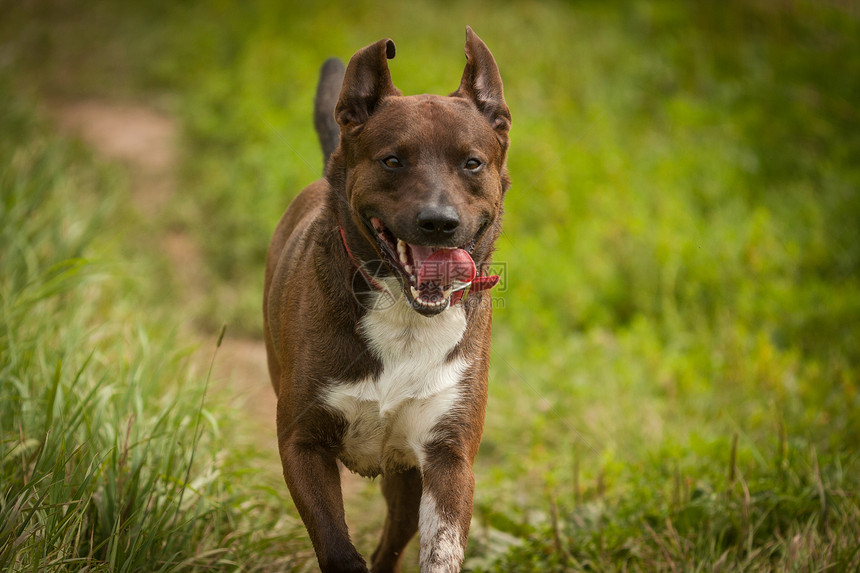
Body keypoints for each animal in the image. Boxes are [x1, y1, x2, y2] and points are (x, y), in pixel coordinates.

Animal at [264, 27, 510, 572]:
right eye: (392, 160)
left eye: (472, 162)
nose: (439, 222)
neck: (405, 315)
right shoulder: (302, 444)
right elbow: (337, 547)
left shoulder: (447, 456)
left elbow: (441, 549)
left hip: (405, 483)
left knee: (390, 542)